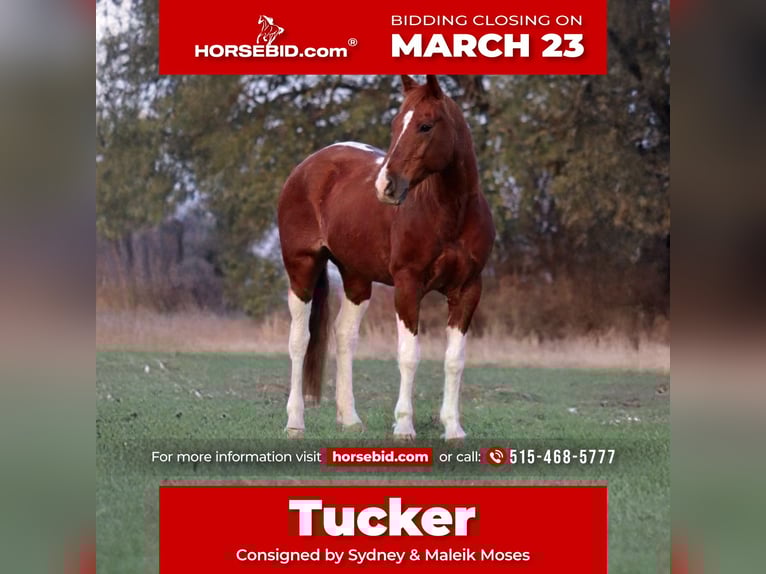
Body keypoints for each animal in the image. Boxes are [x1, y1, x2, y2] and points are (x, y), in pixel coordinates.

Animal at [277, 75, 495, 441]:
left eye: (425, 125)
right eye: (395, 125)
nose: (386, 186)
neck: (451, 213)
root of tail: (307, 167)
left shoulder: (468, 289)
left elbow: (455, 359)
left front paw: (453, 429)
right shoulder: (408, 285)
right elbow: (409, 355)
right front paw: (404, 426)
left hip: (356, 278)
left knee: (344, 336)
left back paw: (350, 419)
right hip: (302, 269)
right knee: (299, 340)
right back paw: (295, 421)